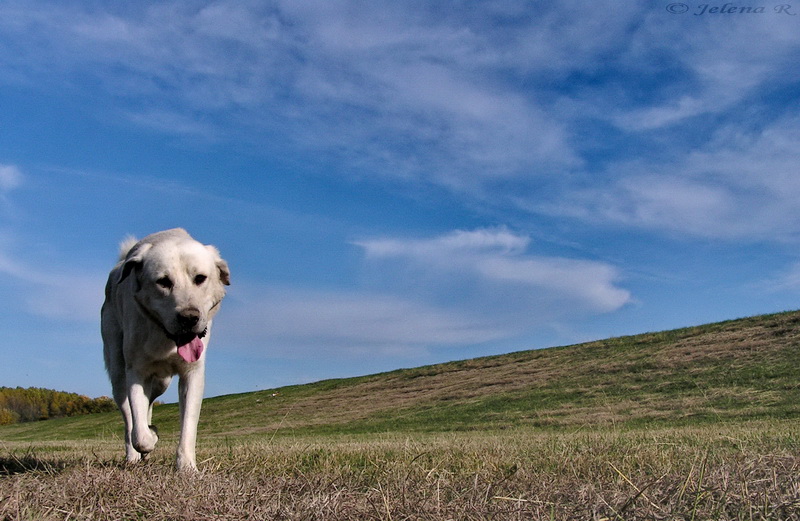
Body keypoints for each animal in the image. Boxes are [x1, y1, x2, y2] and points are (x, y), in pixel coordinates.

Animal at [101, 229, 230, 472]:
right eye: (163, 282)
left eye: (200, 278)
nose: (189, 318)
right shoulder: (136, 372)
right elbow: (139, 433)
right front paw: (149, 439)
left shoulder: (192, 374)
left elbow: (188, 425)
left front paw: (187, 467)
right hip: (118, 374)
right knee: (129, 418)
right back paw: (134, 455)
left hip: (162, 382)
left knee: (149, 403)